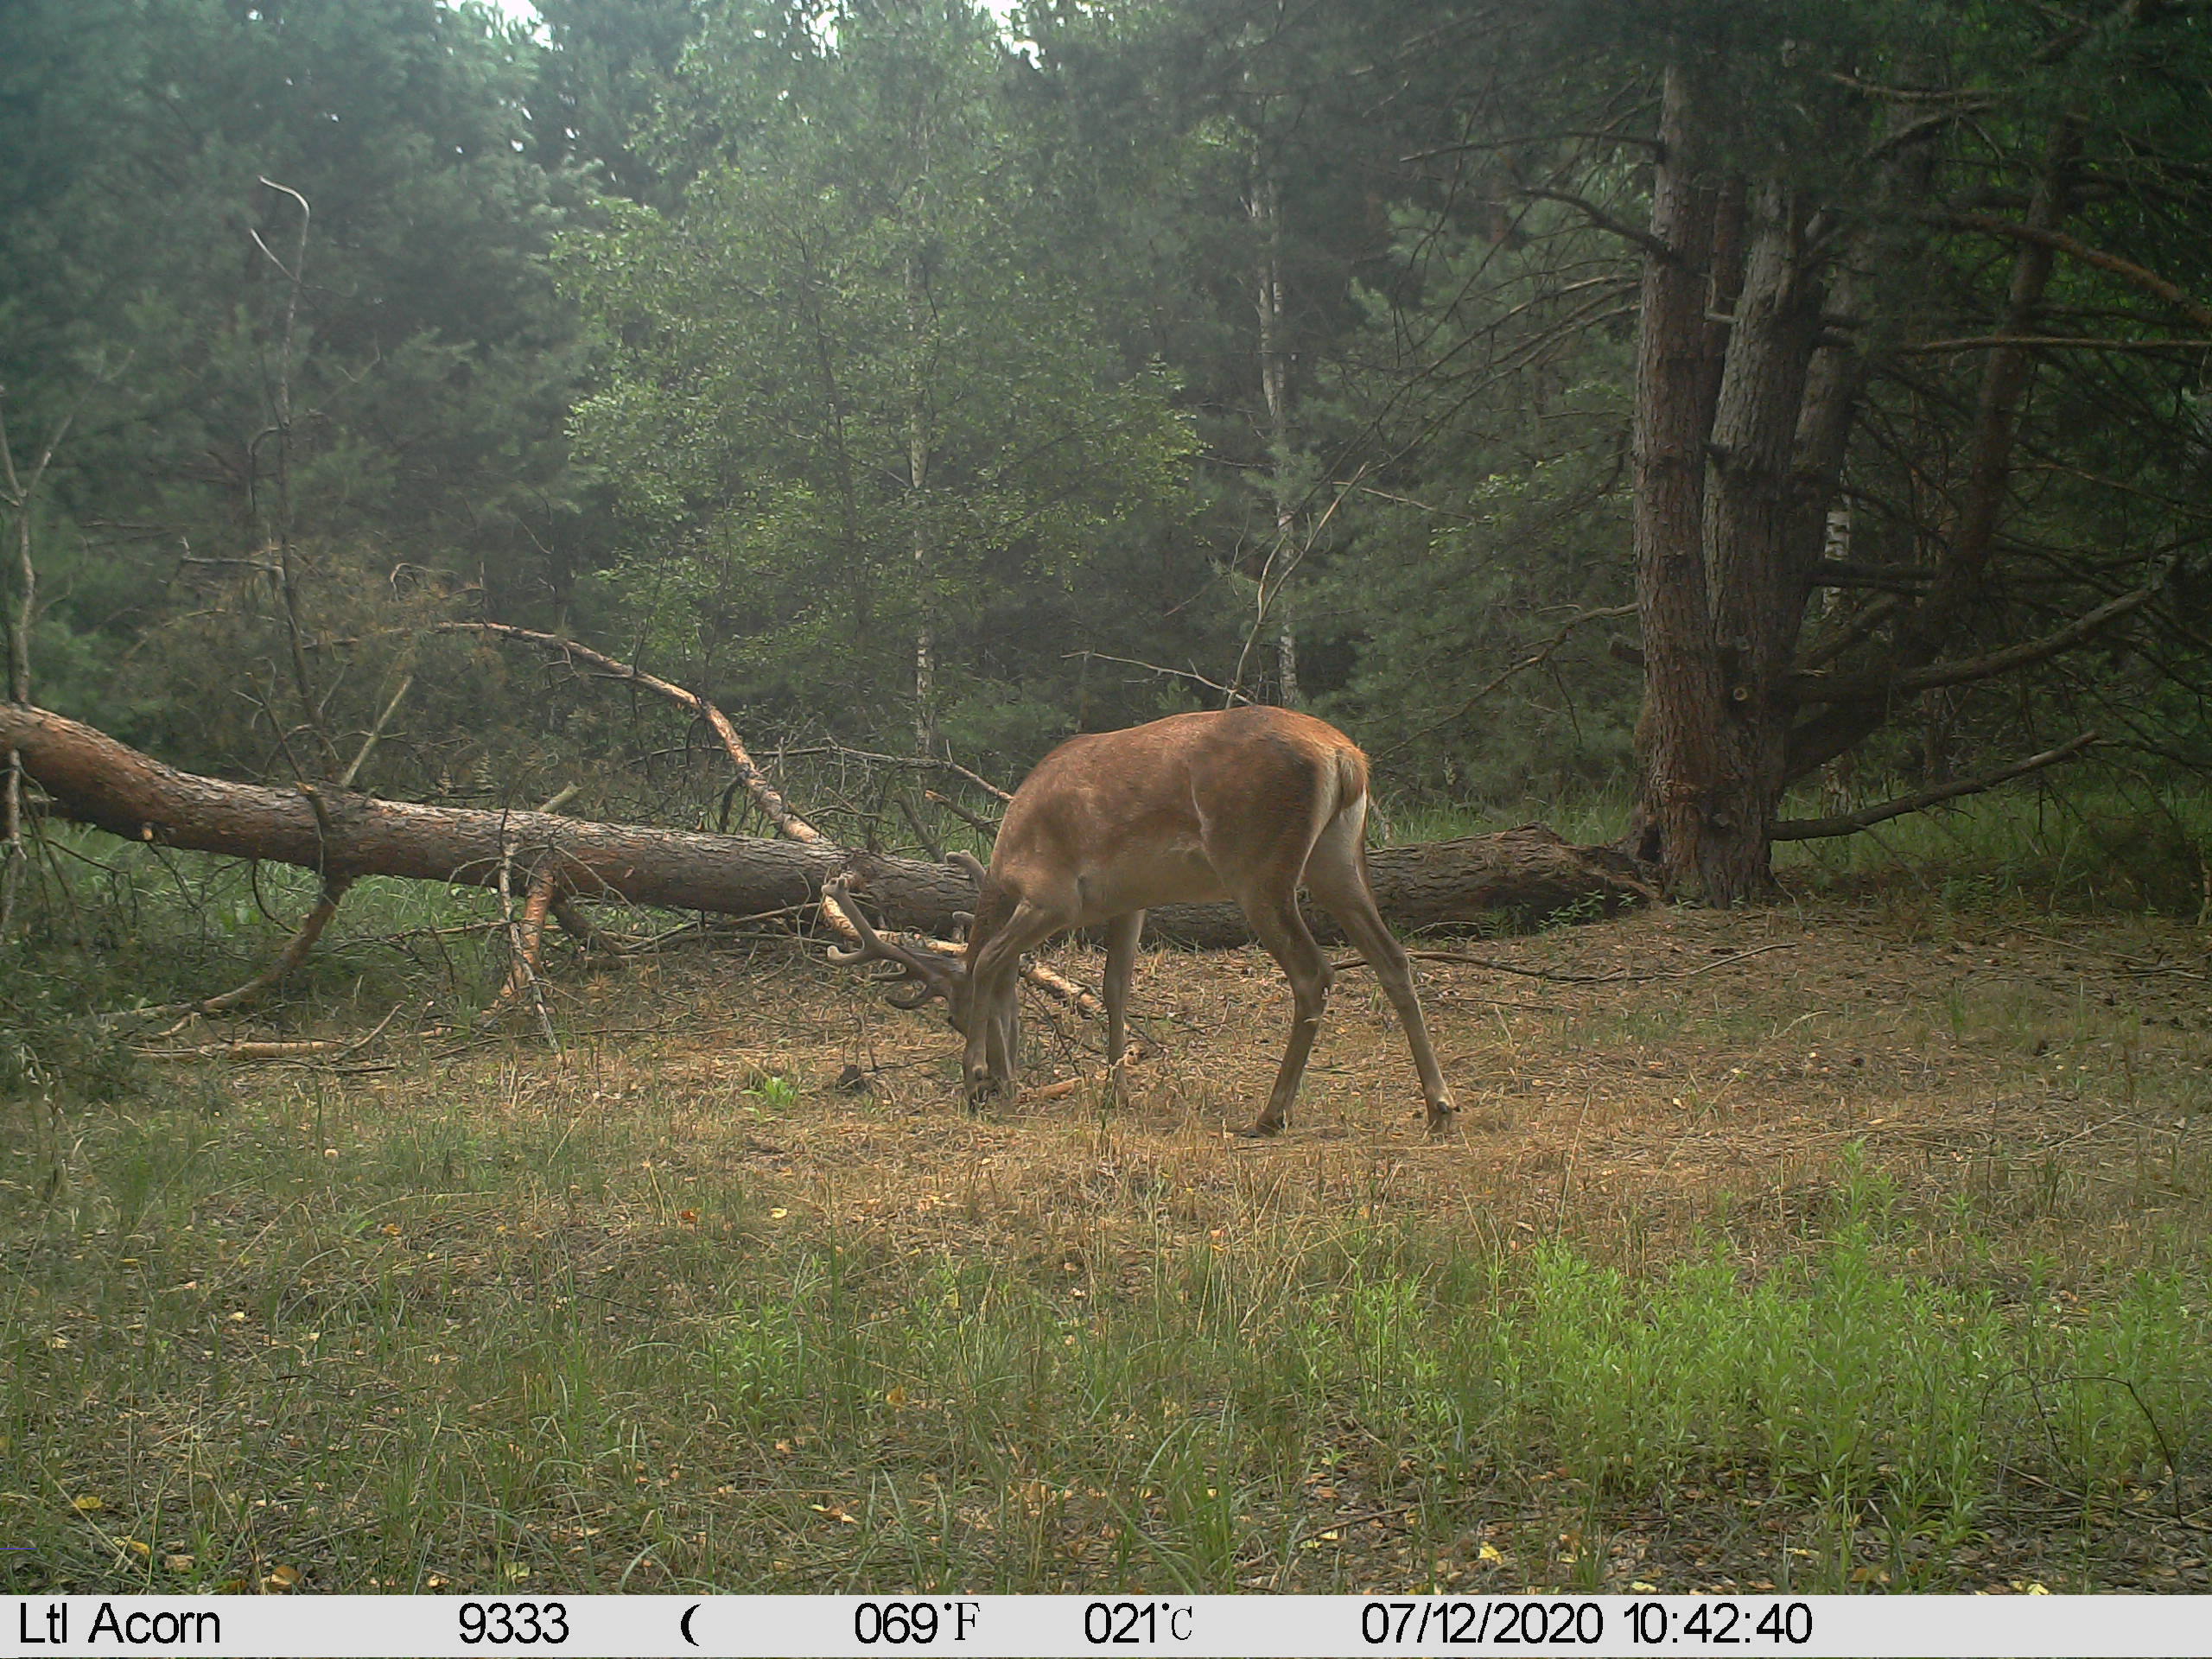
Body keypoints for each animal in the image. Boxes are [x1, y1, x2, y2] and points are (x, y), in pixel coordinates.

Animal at [828, 706, 1457, 1138]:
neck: (1007, 861)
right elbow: (1114, 989)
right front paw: (1116, 1092)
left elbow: (987, 960)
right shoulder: (1127, 902)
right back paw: (1440, 1106)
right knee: (1392, 957)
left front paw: (978, 1076)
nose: (992, 1087)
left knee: (1314, 972)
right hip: (1337, 857)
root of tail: (1344, 758)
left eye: (955, 1019)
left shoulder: (1052, 897)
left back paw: (1271, 1114)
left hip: (1257, 864)